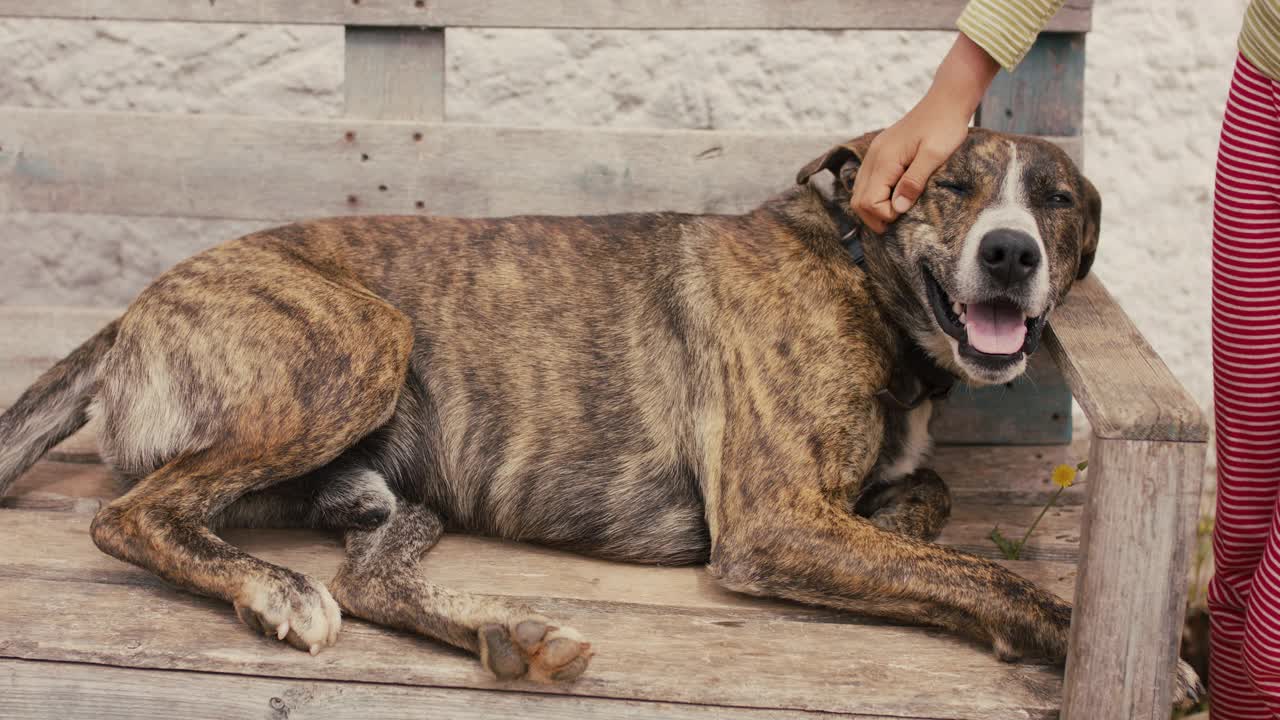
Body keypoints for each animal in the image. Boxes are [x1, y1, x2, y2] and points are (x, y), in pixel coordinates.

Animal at [0, 127, 1198, 702]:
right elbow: (984, 572)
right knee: (131, 516)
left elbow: (930, 506)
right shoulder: (774, 523)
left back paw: (507, 636)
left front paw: (906, 521)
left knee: (370, 573)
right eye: (950, 186)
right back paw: (275, 590)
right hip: (362, 341)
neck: (859, 272)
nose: (1011, 256)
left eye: (1057, 202)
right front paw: (1101, 644)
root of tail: (129, 313)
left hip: (396, 489)